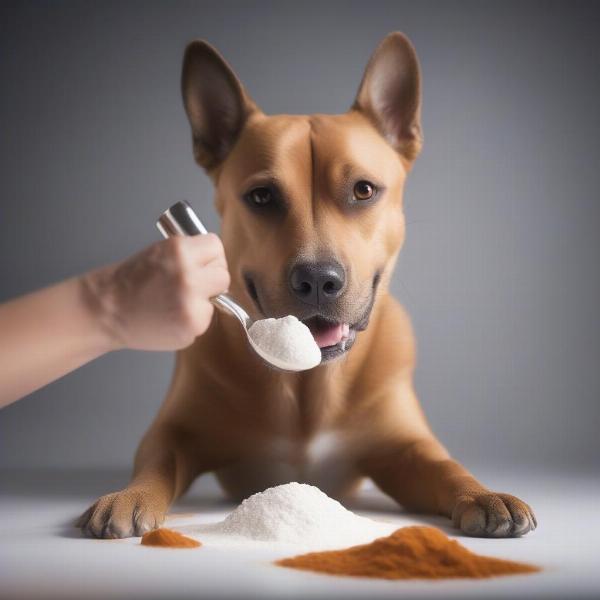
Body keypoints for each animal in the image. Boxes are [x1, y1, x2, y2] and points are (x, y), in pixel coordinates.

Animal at [77, 31, 536, 540]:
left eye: (363, 190)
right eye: (261, 196)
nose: (317, 279)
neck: (308, 384)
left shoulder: (407, 447)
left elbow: (445, 466)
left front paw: (481, 493)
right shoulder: (175, 432)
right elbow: (157, 462)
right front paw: (130, 494)